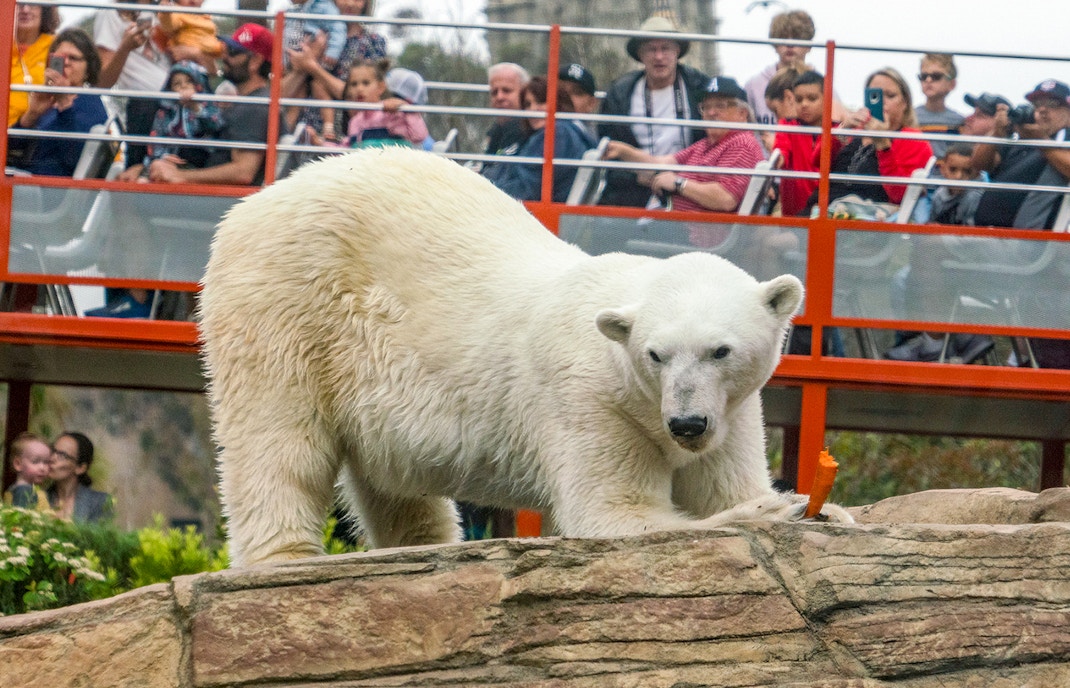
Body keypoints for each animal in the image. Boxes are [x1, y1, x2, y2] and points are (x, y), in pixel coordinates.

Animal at [200, 147, 851, 567]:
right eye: (656, 354)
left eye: (720, 350)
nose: (686, 424)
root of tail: (249, 206)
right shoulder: (589, 400)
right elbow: (613, 514)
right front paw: (778, 511)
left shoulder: (734, 409)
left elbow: (722, 485)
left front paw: (827, 510)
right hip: (286, 305)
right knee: (279, 441)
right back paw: (285, 558)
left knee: (396, 486)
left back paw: (426, 545)